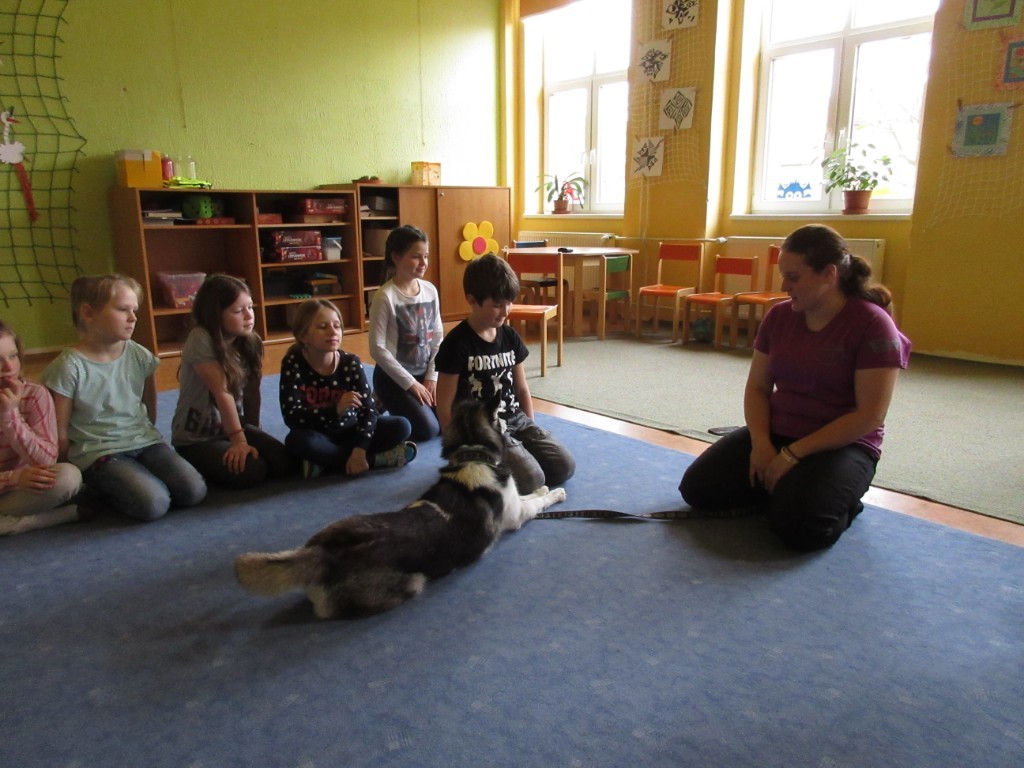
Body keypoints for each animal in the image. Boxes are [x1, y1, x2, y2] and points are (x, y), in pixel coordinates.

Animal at [234, 394, 567, 619]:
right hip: (412, 582)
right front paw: (554, 493)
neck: (473, 454)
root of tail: (323, 554)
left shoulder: (514, 502)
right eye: (499, 417)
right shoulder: (516, 516)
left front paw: (542, 488)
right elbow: (535, 502)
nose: (507, 418)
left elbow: (528, 495)